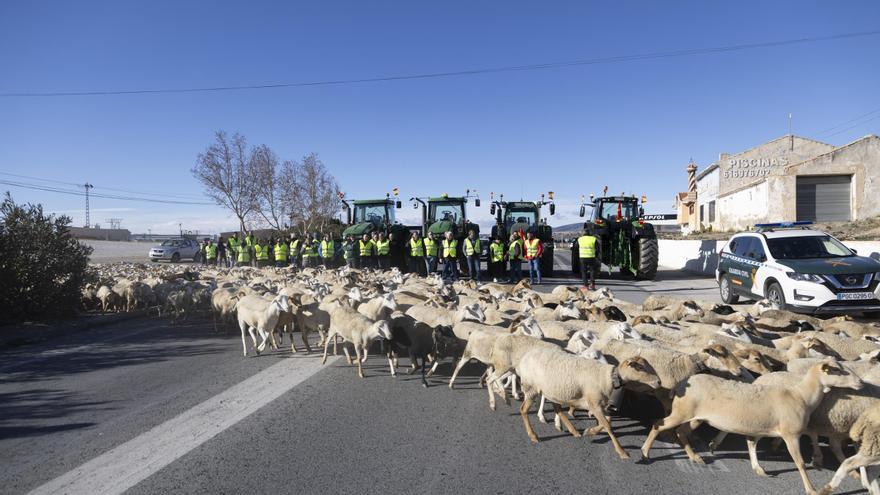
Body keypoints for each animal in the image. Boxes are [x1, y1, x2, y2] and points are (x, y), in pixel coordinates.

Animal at [502, 346, 660, 460]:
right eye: (640, 367)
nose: (659, 382)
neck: (608, 377)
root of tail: (523, 359)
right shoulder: (594, 404)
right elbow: (608, 425)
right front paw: (622, 452)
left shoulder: (599, 404)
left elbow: (606, 422)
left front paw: (589, 431)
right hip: (532, 387)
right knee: (524, 410)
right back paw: (533, 435)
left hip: (553, 390)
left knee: (557, 408)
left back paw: (574, 431)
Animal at [644, 360, 864, 495]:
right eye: (838, 370)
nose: (860, 382)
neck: (801, 396)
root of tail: (681, 384)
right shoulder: (790, 434)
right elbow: (800, 463)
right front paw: (811, 489)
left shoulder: (760, 429)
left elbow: (752, 445)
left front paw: (758, 468)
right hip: (682, 412)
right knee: (658, 425)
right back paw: (645, 452)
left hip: (696, 417)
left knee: (682, 432)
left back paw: (695, 457)